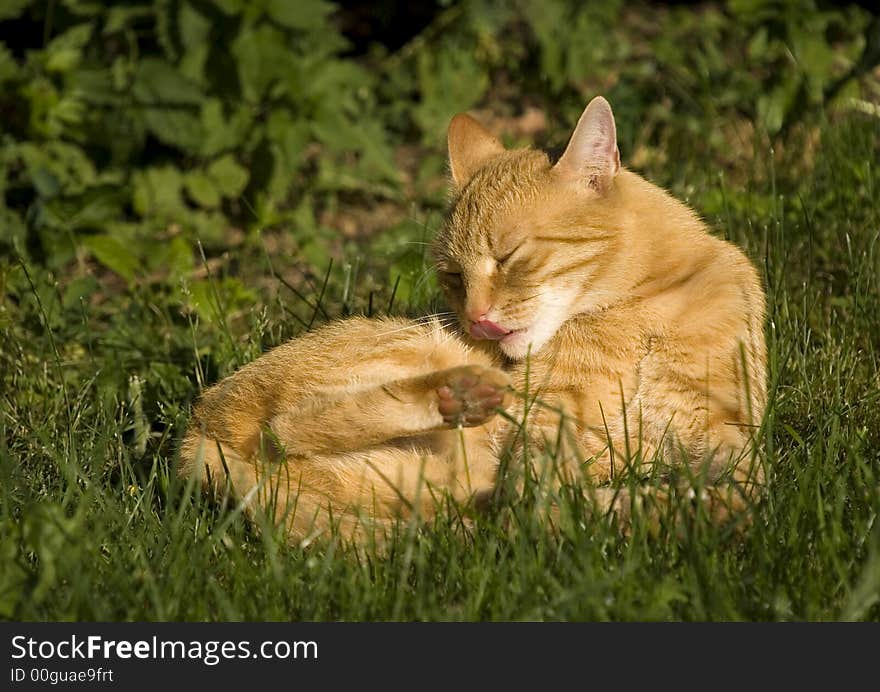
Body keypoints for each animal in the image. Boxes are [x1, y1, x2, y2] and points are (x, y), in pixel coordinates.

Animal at [180, 94, 768, 544]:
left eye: (509, 258)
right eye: (453, 277)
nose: (477, 319)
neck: (638, 309)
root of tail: (196, 428)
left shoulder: (725, 428)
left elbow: (743, 485)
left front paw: (691, 507)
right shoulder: (545, 428)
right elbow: (552, 492)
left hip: (423, 486)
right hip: (420, 349)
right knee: (285, 427)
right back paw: (456, 395)